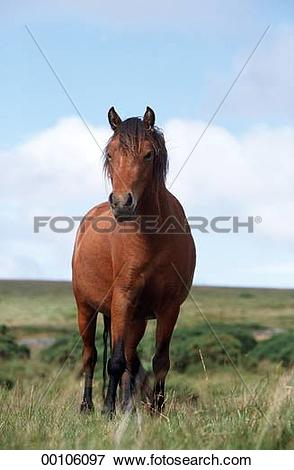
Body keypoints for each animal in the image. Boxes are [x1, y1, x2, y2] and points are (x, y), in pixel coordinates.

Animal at [72, 106, 195, 414]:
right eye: (110, 154)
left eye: (148, 154)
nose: (121, 203)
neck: (152, 239)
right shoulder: (122, 300)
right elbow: (114, 362)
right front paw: (107, 411)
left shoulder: (169, 308)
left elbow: (159, 361)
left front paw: (157, 410)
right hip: (86, 309)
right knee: (91, 356)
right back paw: (88, 406)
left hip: (136, 319)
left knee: (129, 358)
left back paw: (126, 406)